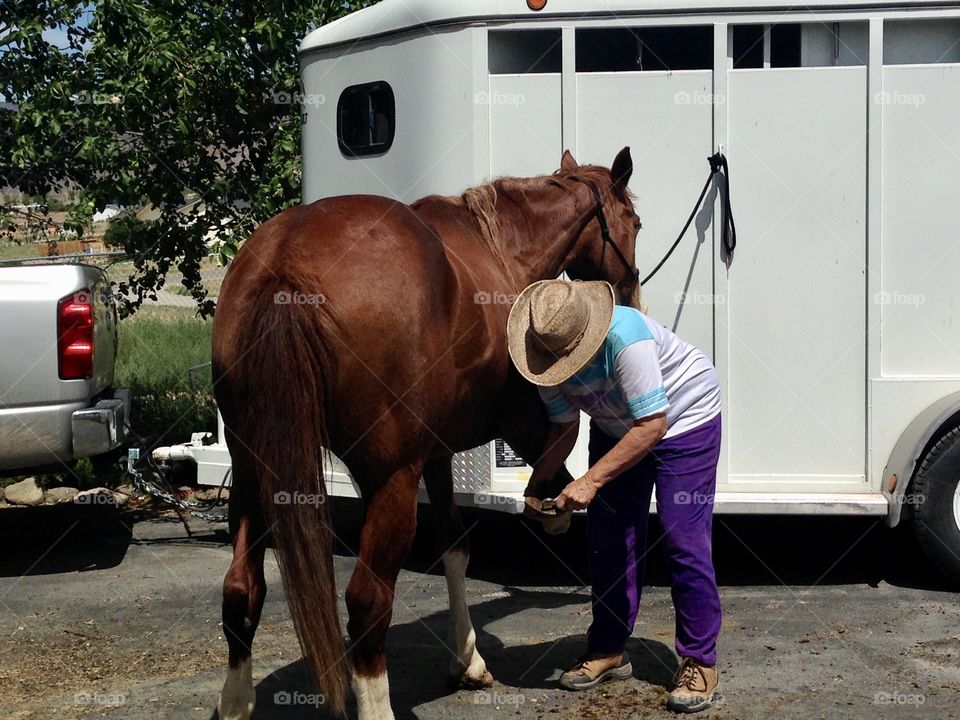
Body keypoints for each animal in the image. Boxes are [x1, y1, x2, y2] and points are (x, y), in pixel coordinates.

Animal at [214, 148, 640, 720]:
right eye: (634, 221)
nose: (633, 291)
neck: (501, 250)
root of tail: (287, 263)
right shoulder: (518, 425)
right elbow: (553, 464)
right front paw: (552, 512)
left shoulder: (436, 455)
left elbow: (455, 548)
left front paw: (468, 660)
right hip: (388, 482)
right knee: (367, 603)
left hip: (252, 470)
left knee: (242, 589)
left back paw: (236, 700)